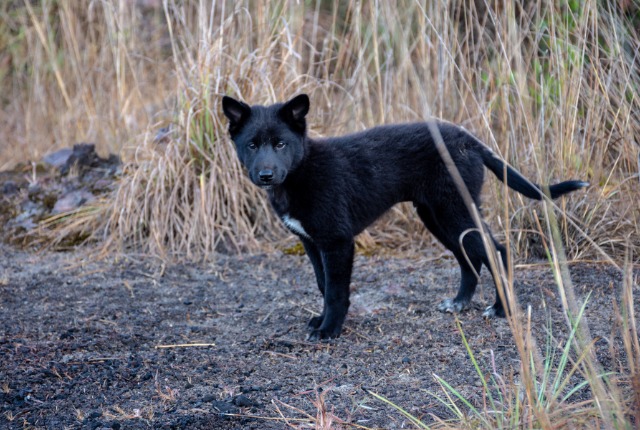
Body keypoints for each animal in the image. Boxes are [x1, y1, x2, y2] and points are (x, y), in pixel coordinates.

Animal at [222, 94, 588, 340]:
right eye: (251, 145)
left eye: (281, 144)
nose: (266, 174)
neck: (301, 172)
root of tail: (469, 140)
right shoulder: (312, 243)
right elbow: (323, 285)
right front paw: (322, 321)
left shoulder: (338, 241)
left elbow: (336, 290)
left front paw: (329, 330)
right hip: (437, 216)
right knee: (469, 258)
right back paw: (459, 303)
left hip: (455, 211)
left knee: (496, 251)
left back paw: (502, 309)